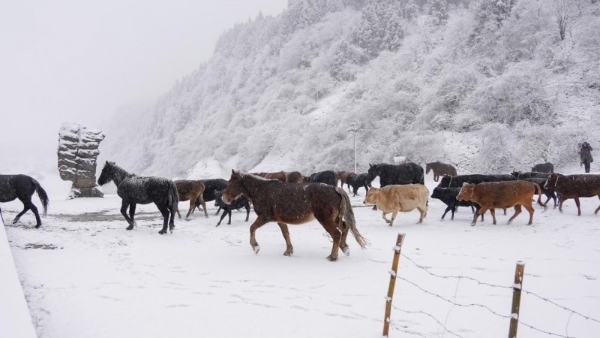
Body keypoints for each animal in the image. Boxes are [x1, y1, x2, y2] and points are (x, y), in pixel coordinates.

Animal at [223, 170, 368, 260]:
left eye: (230, 183)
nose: (224, 198)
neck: (262, 190)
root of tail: (335, 189)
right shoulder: (280, 220)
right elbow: (285, 234)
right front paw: (289, 251)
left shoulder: (265, 217)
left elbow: (252, 228)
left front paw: (255, 247)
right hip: (335, 218)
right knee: (345, 227)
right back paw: (345, 248)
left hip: (325, 219)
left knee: (336, 234)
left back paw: (333, 256)